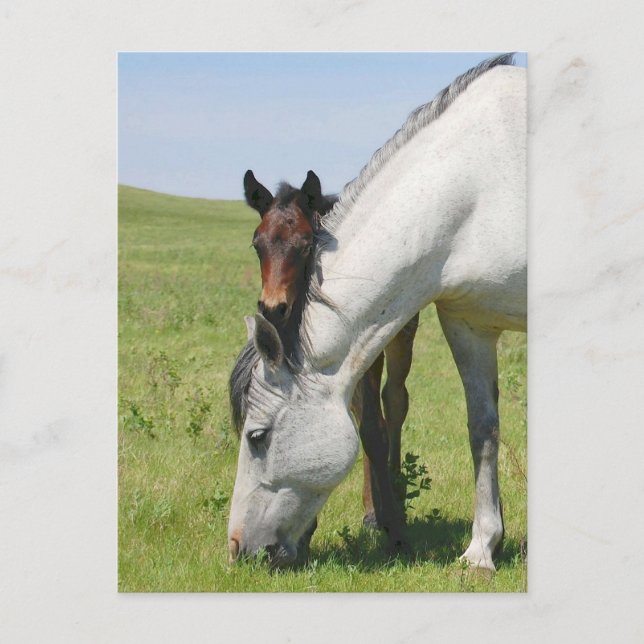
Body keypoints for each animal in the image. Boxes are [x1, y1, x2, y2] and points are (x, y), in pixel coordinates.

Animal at [240, 170, 419, 549]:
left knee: (394, 403)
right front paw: (305, 530)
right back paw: (373, 510)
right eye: (257, 245)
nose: (273, 308)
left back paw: (395, 494)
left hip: (400, 339)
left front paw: (395, 526)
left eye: (306, 245)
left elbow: (374, 430)